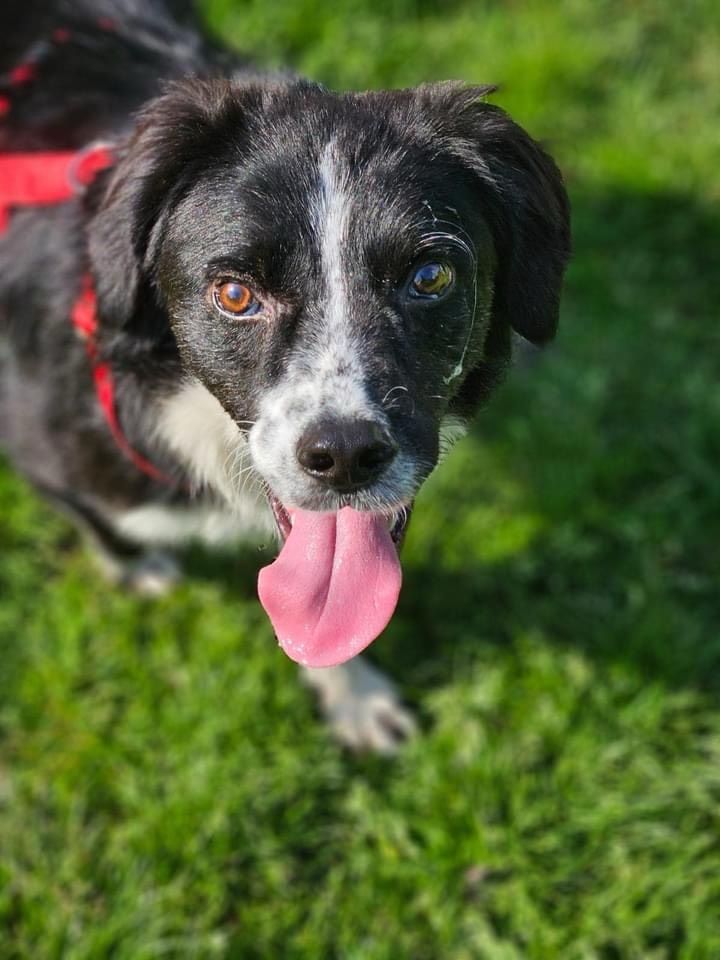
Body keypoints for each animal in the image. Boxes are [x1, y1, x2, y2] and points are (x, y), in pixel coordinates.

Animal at [0, 0, 572, 752]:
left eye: (430, 276)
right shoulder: (44, 451)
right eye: (235, 293)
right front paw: (135, 566)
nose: (346, 457)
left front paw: (354, 698)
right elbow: (103, 522)